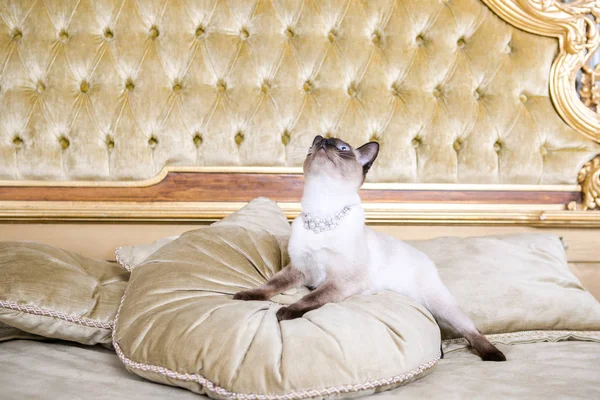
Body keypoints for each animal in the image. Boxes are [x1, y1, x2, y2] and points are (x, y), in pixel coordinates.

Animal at [234, 135, 506, 362]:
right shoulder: (299, 269)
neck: (323, 213)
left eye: (342, 149)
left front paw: (287, 311)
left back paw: (494, 355)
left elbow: (310, 298)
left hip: (443, 306)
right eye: (318, 142)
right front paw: (246, 296)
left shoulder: (340, 282)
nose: (324, 142)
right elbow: (270, 285)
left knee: (471, 330)